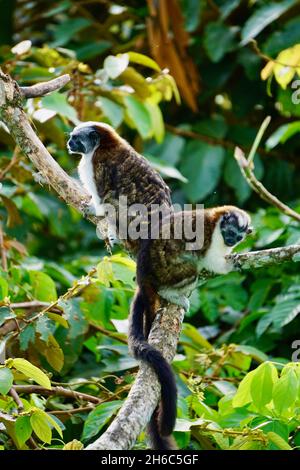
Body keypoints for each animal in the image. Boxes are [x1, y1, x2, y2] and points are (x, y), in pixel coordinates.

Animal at [130, 206, 252, 448]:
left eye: (237, 237)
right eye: (229, 232)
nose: (231, 241)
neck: (217, 223)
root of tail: (143, 274)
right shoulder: (209, 238)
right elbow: (213, 262)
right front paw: (230, 264)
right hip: (168, 270)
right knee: (191, 266)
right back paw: (170, 293)